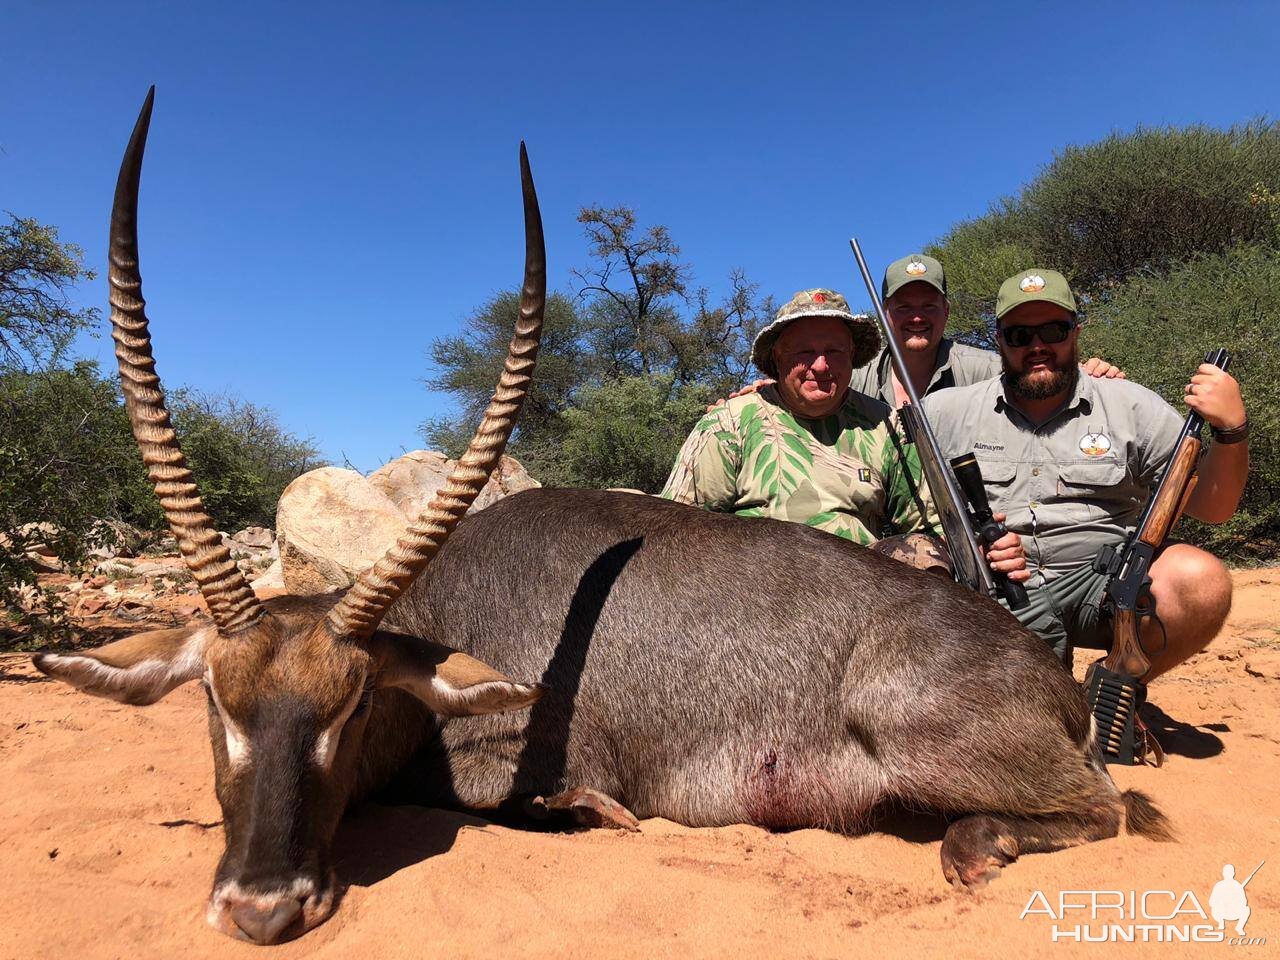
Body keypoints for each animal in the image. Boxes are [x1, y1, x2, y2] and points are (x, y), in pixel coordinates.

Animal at [37, 88, 1172, 947]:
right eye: (213, 701)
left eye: (351, 706)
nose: (263, 905)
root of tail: (1042, 675)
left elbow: (492, 796)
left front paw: (585, 808)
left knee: (1102, 807)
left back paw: (974, 843)